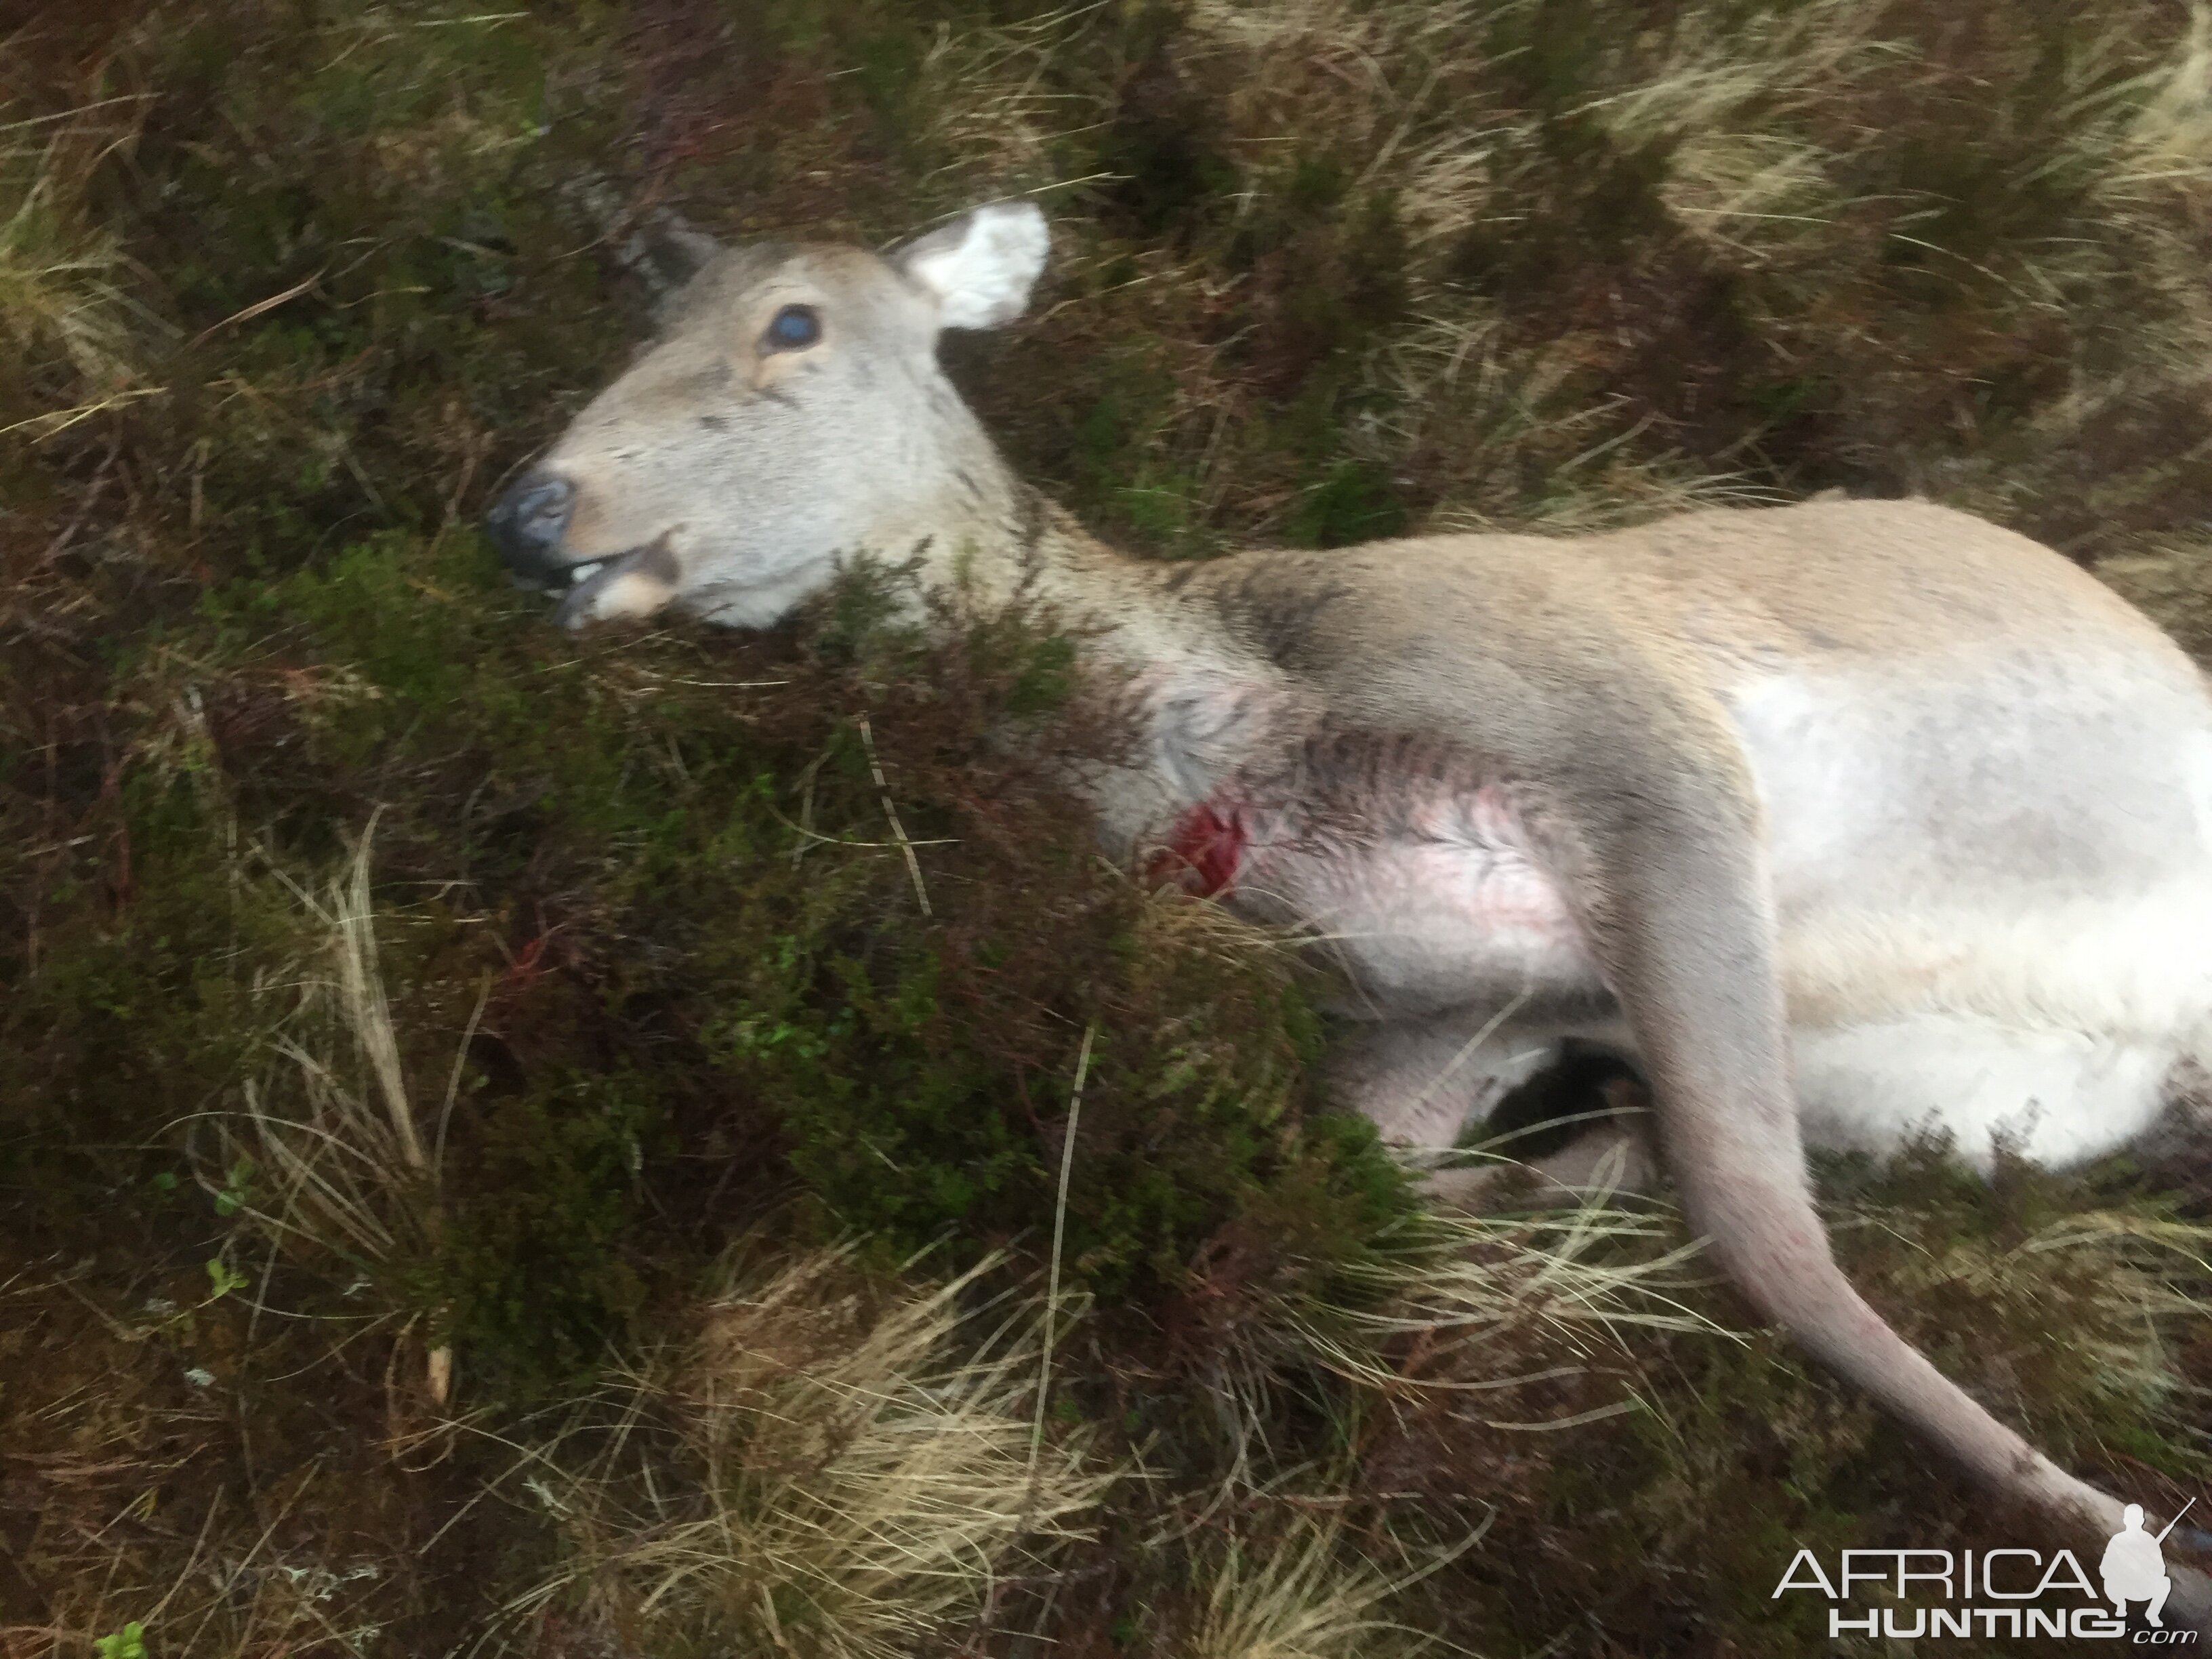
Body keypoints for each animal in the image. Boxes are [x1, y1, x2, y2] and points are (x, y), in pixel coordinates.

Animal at [484, 198, 2212, 1628]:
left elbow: (1764, 1228)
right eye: (647, 314)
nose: (527, 510)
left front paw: (2127, 1540)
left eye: (792, 320)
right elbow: (1392, 1188)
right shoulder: (1464, 1001)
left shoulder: (1643, 743)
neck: (1237, 753)